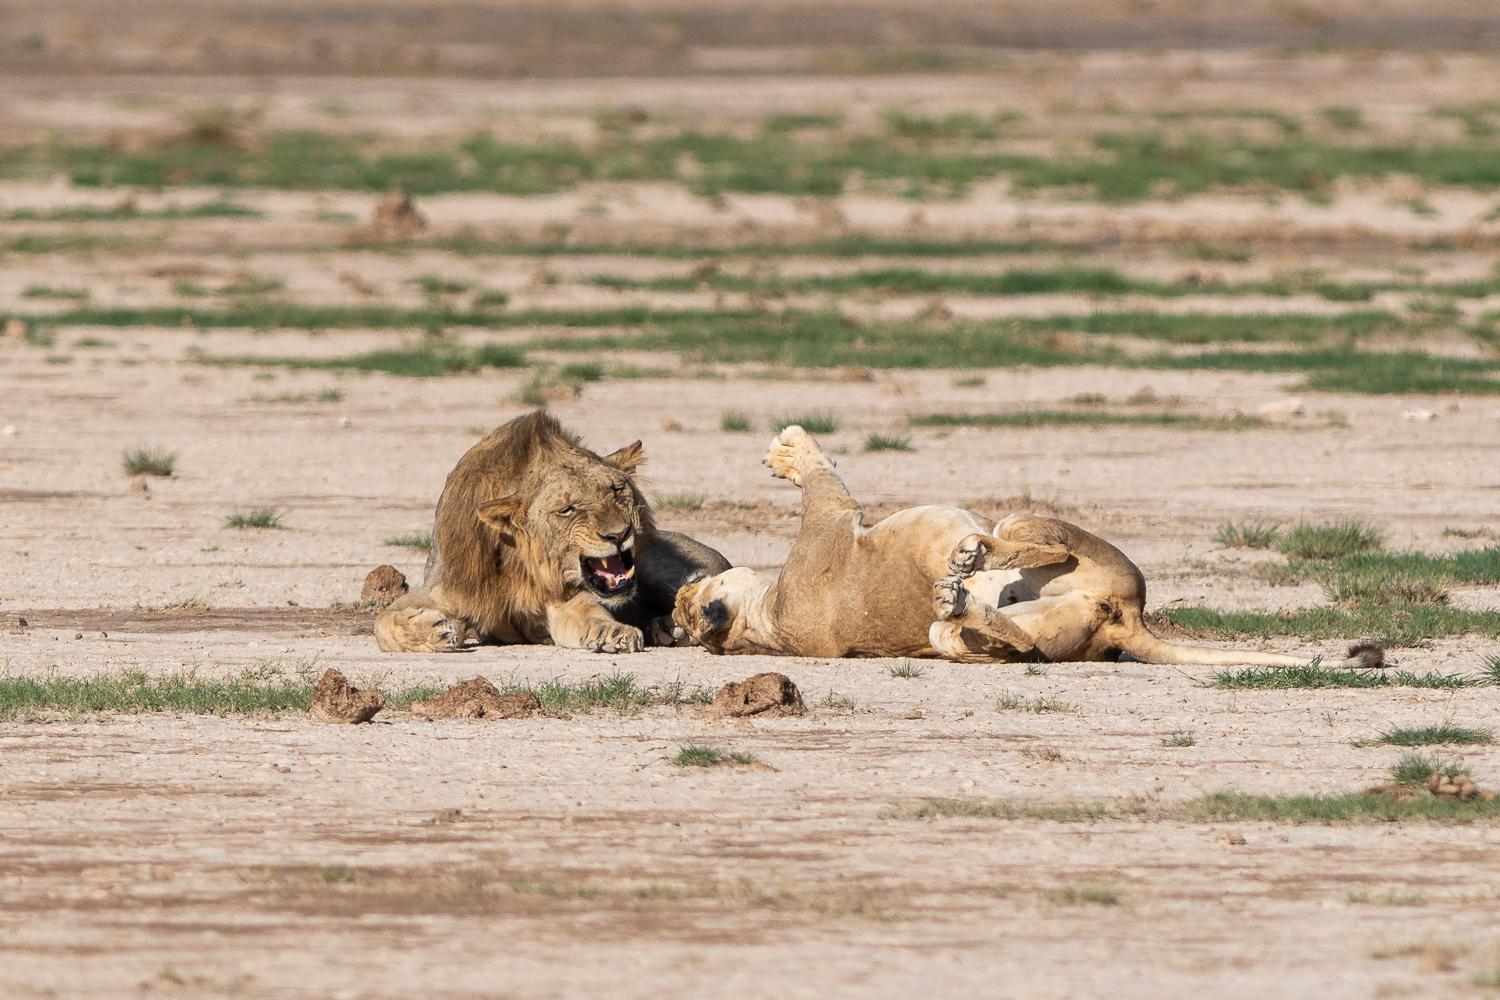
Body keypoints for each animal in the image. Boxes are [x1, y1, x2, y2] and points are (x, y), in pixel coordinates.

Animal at [376, 411, 730, 653]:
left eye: (617, 490)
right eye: (567, 509)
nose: (620, 533)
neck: (515, 562)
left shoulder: (561, 602)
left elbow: (586, 612)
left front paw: (613, 632)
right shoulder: (446, 589)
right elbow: (382, 621)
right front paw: (434, 630)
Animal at [672, 425, 1383, 670]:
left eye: (682, 607)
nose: (678, 597)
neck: (766, 619)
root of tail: (1128, 618)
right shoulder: (833, 519)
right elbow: (821, 475)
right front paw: (789, 450)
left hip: (1014, 608)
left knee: (1017, 636)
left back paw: (964, 587)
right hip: (1023, 527)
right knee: (1026, 573)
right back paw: (965, 574)